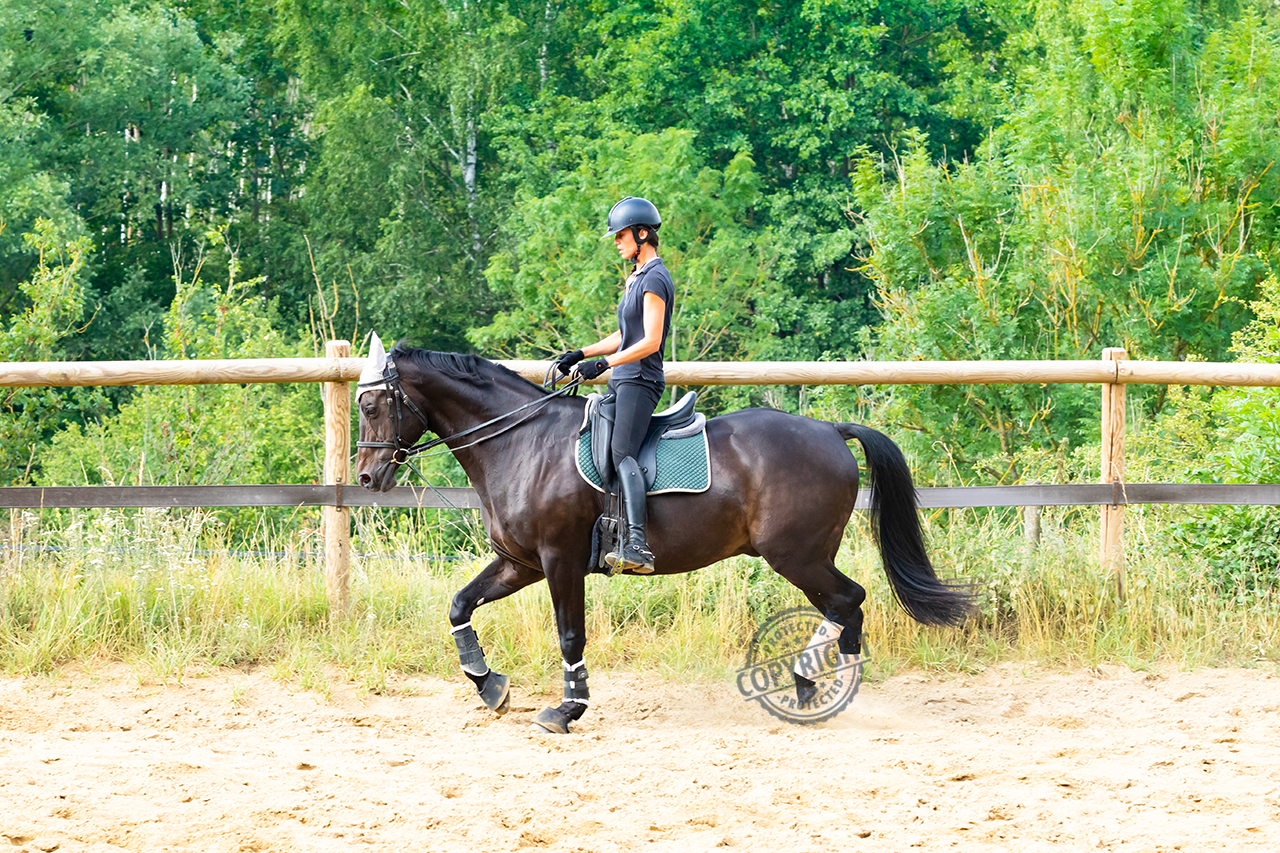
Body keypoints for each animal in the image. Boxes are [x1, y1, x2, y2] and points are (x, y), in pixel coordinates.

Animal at [355, 340, 972, 732]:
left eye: (373, 404)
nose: (367, 478)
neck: (522, 442)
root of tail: (829, 430)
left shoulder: (558, 561)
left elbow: (570, 636)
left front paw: (567, 710)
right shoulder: (521, 562)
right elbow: (460, 605)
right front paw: (489, 685)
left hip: (796, 554)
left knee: (849, 601)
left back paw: (811, 682)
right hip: (805, 556)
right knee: (848, 607)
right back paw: (820, 686)